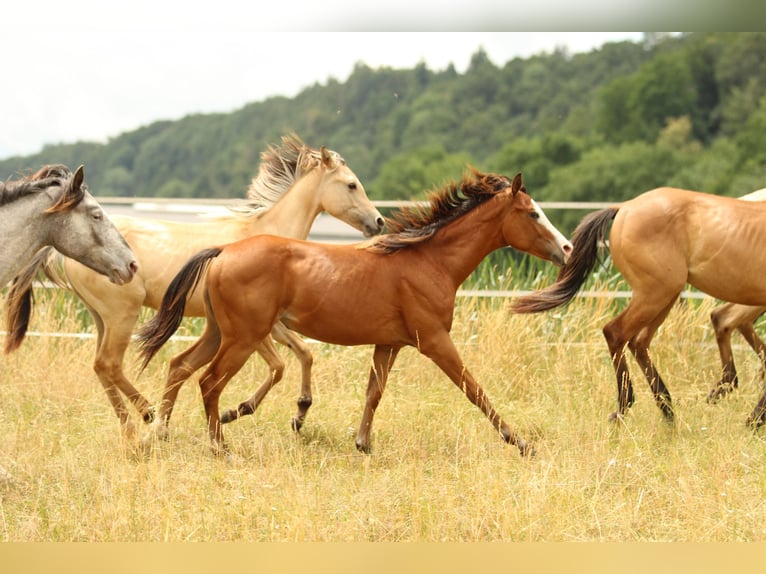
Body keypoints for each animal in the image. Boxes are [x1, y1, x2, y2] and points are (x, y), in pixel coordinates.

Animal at [4, 135, 385, 442]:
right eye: (351, 185)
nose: (379, 221)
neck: (265, 234)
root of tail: (56, 250)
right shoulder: (257, 326)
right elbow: (280, 363)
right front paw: (238, 410)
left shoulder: (271, 322)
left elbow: (303, 353)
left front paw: (298, 412)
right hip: (122, 314)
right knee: (109, 363)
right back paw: (146, 414)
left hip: (101, 318)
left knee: (101, 366)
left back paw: (136, 423)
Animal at [135, 170, 572, 457]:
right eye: (533, 214)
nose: (567, 248)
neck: (428, 262)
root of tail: (223, 251)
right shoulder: (434, 341)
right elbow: (474, 388)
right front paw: (520, 442)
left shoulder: (389, 344)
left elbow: (374, 392)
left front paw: (363, 444)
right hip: (243, 337)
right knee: (208, 382)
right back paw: (219, 444)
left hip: (218, 332)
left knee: (179, 365)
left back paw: (161, 433)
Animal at [511, 186, 766, 428]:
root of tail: (625, 207)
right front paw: (754, 420)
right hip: (655, 293)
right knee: (617, 333)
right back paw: (627, 407)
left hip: (665, 295)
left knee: (639, 341)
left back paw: (669, 410)